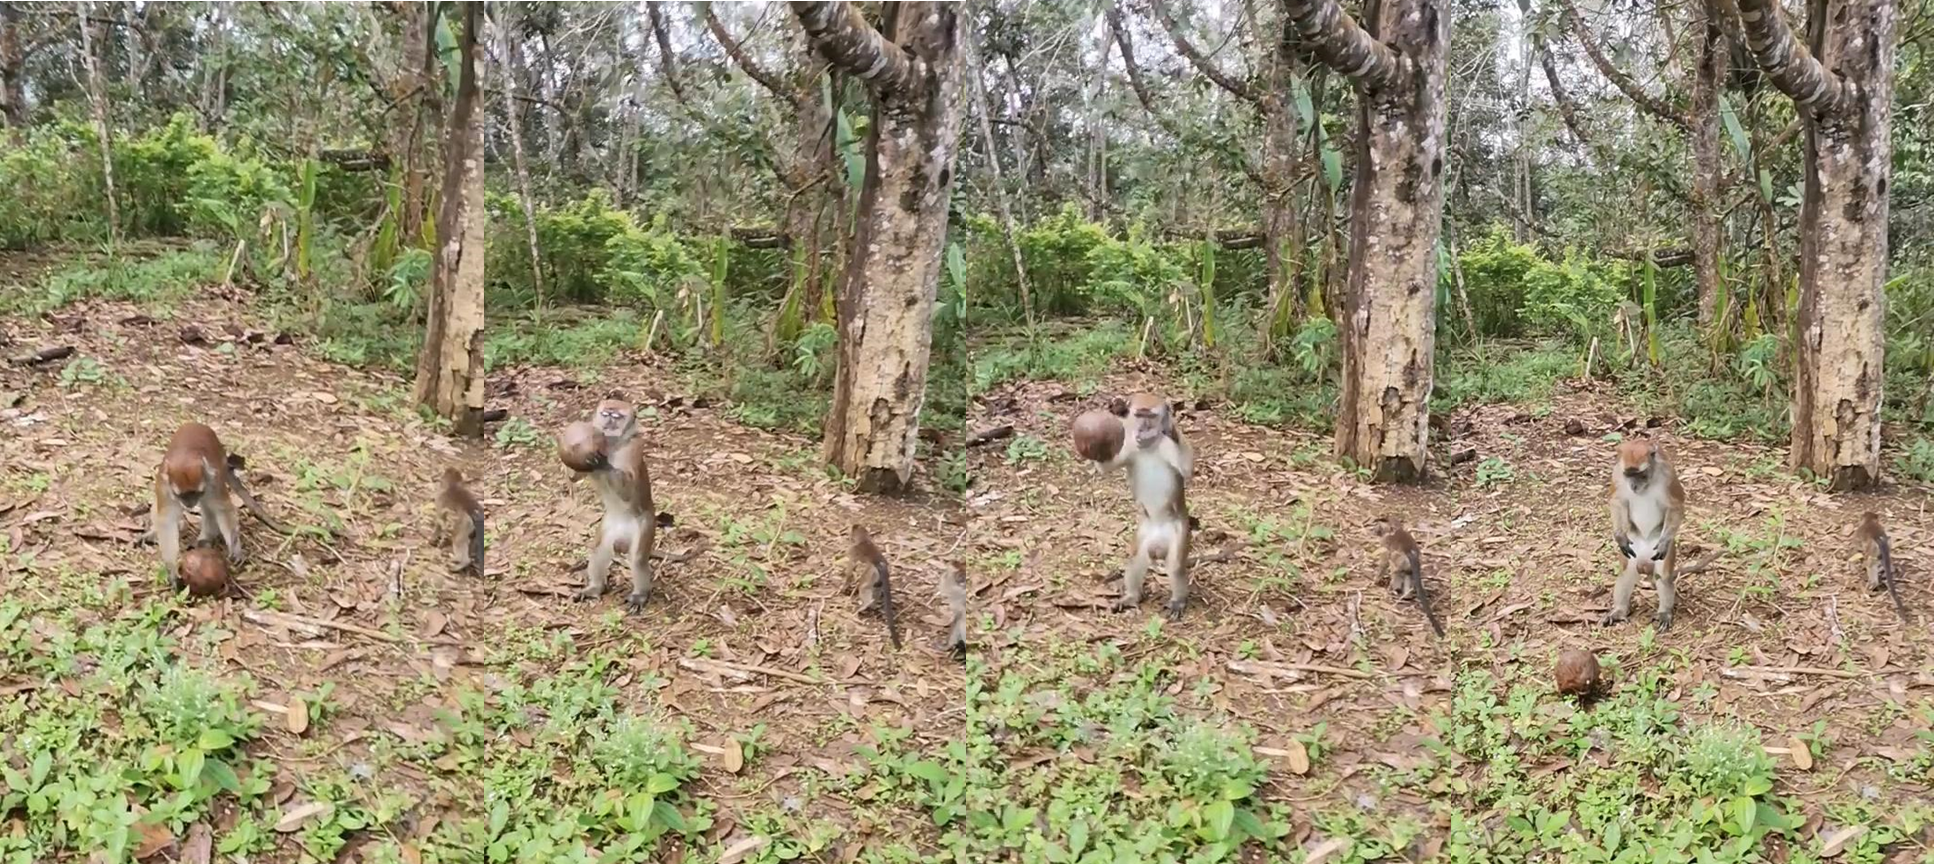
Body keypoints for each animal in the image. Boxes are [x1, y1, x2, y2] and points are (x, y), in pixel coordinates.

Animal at [560, 399, 658, 614]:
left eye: (617, 417)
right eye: (606, 414)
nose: (609, 424)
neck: (613, 444)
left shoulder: (633, 448)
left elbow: (628, 490)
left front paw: (602, 462)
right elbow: (577, 475)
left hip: (645, 524)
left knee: (638, 558)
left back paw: (640, 595)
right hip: (609, 526)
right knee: (599, 550)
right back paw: (595, 588)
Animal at [1102, 393, 1194, 620]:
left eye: (1151, 416)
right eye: (1139, 415)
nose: (1143, 428)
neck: (1150, 447)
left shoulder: (1168, 447)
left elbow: (1187, 468)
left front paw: (1171, 426)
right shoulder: (1128, 446)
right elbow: (1106, 466)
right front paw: (1116, 408)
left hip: (1179, 531)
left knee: (1175, 566)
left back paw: (1178, 601)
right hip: (1144, 533)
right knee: (1136, 559)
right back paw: (1131, 597)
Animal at [1605, 437, 1688, 630]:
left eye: (1640, 474)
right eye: (1629, 474)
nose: (1634, 485)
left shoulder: (1668, 473)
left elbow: (1676, 505)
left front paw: (1664, 542)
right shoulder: (1617, 473)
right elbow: (1617, 500)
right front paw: (1619, 536)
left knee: (1662, 576)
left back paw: (1664, 613)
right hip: (1633, 549)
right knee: (1626, 574)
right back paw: (1619, 611)